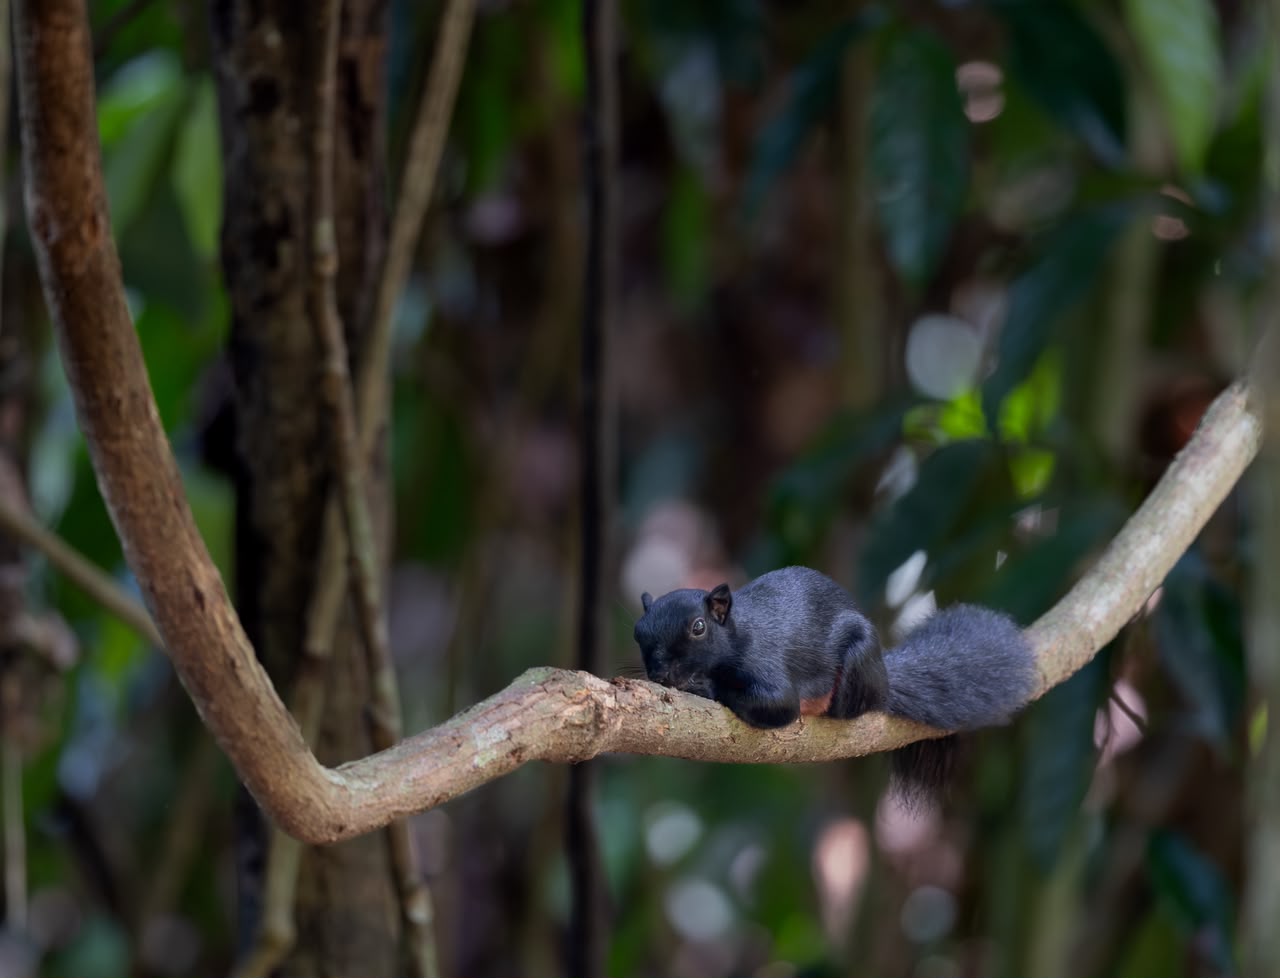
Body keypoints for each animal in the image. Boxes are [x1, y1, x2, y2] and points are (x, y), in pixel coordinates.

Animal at [633, 566, 1036, 800]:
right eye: (638, 632)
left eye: (698, 628)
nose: (661, 674)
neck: (737, 633)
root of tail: (885, 681)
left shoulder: (766, 664)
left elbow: (778, 705)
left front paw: (701, 686)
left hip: (857, 661)